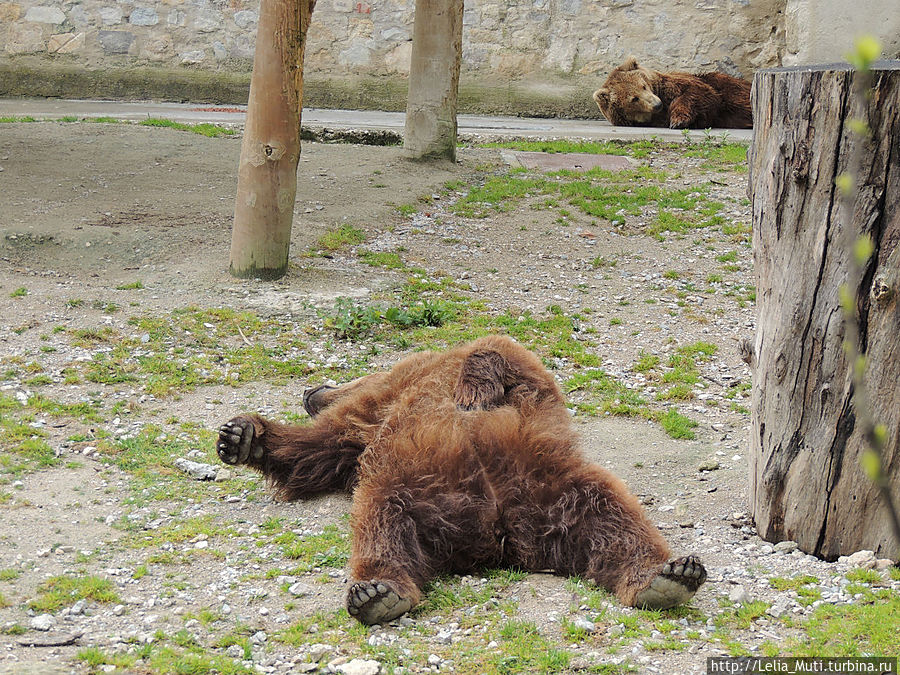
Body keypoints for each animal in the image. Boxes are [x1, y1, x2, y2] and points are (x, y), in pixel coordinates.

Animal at [216, 336, 704, 624]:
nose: (311, 390)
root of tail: (500, 537)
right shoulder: (364, 433)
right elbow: (314, 453)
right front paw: (242, 438)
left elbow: (499, 349)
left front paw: (474, 391)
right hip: (411, 489)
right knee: (379, 522)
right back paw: (377, 592)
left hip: (552, 485)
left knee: (613, 515)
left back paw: (667, 575)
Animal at [592, 57, 752, 130]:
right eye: (634, 99)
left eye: (643, 86)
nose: (657, 104)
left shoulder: (680, 83)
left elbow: (699, 93)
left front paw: (678, 121)